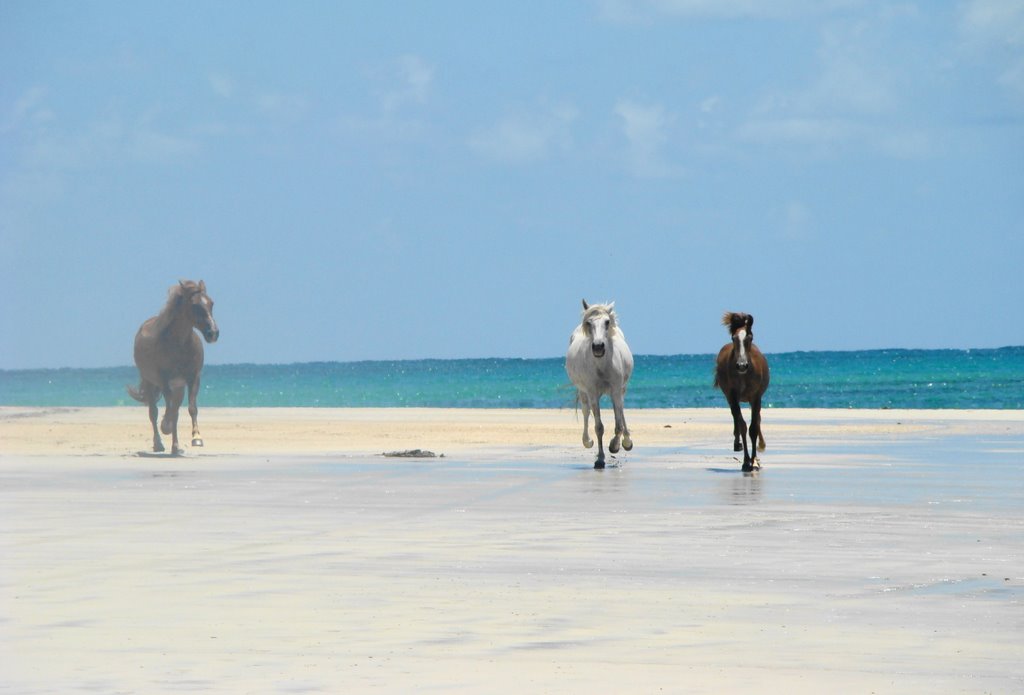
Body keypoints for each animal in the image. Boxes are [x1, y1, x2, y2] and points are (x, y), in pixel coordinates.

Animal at [127, 280, 218, 454]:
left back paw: (175, 447)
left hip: (178, 387)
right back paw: (159, 444)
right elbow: (168, 412)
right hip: (151, 383)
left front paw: (197, 438)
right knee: (154, 413)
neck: (179, 345)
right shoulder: (164, 381)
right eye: (195, 305)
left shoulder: (193, 378)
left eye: (211, 303)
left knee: (174, 410)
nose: (213, 333)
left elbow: (191, 408)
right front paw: (166, 427)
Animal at [569, 298, 630, 466]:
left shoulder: (616, 389)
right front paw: (600, 458)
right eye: (589, 323)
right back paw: (587, 441)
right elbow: (599, 427)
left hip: (621, 389)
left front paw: (615, 446)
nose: (598, 347)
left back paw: (627, 442)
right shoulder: (592, 393)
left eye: (607, 322)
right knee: (585, 411)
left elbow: (618, 424)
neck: (602, 365)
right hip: (583, 392)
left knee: (621, 411)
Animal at [712, 313, 770, 472]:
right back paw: (737, 444)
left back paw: (760, 447)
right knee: (735, 417)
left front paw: (754, 461)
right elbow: (742, 425)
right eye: (733, 338)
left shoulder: (756, 397)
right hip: (731, 398)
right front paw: (746, 462)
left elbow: (753, 427)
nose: (742, 365)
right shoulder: (732, 396)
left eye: (750, 337)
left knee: (757, 419)